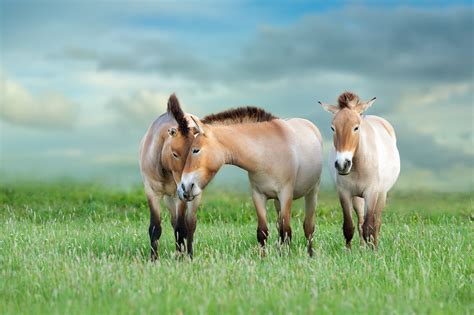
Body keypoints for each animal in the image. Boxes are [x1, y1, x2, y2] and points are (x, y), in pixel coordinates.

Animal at [140, 94, 201, 262]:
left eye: (195, 151)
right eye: (175, 154)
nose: (187, 187)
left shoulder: (180, 195)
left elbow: (182, 228)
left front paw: (181, 258)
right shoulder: (152, 192)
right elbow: (155, 227)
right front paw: (153, 259)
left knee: (190, 224)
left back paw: (189, 255)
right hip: (169, 199)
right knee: (175, 223)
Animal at [176, 107, 324, 258]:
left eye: (195, 150)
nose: (184, 187)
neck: (266, 153)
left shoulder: (286, 194)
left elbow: (287, 231)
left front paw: (286, 258)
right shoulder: (258, 195)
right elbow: (263, 232)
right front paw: (263, 258)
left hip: (312, 192)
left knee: (308, 227)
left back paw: (310, 254)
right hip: (277, 202)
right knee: (279, 226)